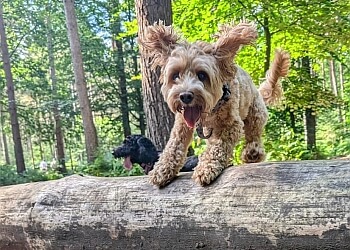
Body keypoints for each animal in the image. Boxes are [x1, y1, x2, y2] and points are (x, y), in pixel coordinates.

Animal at [139, 22, 290, 186]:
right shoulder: (182, 124)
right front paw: (162, 168)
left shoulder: (232, 124)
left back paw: (252, 153)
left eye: (202, 75)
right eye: (175, 75)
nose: (185, 96)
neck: (210, 109)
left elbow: (219, 146)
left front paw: (206, 167)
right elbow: (174, 145)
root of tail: (258, 90)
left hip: (255, 114)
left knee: (253, 135)